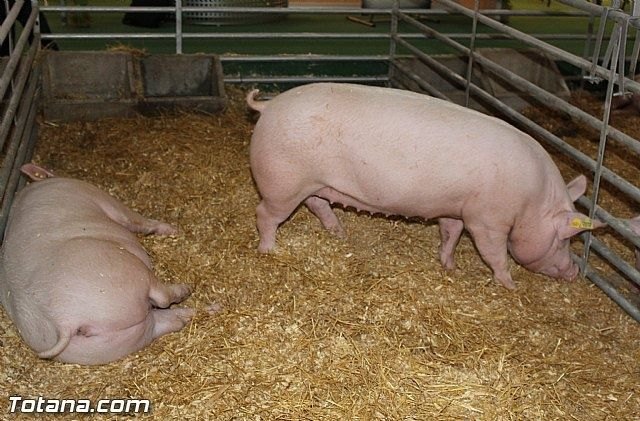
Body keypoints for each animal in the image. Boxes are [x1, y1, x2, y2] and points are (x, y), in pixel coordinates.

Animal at [0, 164, 194, 365]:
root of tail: (64, 320)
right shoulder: (102, 198)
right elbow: (135, 220)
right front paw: (174, 230)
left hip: (102, 347)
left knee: (161, 323)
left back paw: (190, 313)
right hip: (131, 272)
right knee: (162, 297)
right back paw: (186, 290)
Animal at [246, 83, 605, 289]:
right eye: (565, 240)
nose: (574, 272)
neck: (531, 202)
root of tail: (269, 106)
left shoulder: (456, 208)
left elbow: (450, 233)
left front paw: (449, 266)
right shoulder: (487, 219)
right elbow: (494, 253)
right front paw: (510, 285)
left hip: (311, 183)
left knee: (317, 204)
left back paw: (340, 233)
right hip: (283, 181)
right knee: (265, 213)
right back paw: (268, 250)